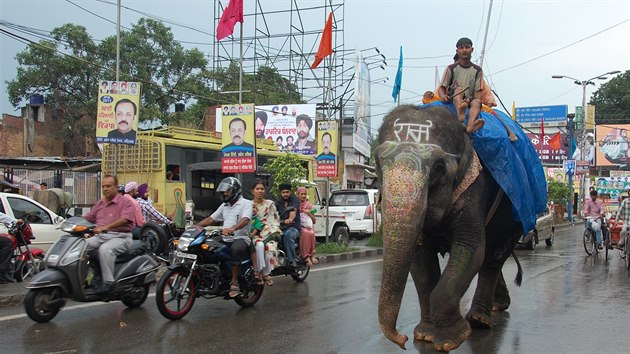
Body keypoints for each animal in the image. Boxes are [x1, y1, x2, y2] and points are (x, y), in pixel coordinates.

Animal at [376, 104, 532, 352]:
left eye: (439, 168)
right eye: (377, 163)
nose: (403, 340)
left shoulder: (474, 188)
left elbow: (471, 248)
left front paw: (452, 340)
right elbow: (420, 260)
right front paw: (425, 335)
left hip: (516, 216)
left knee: (492, 258)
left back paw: (479, 320)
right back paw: (498, 306)